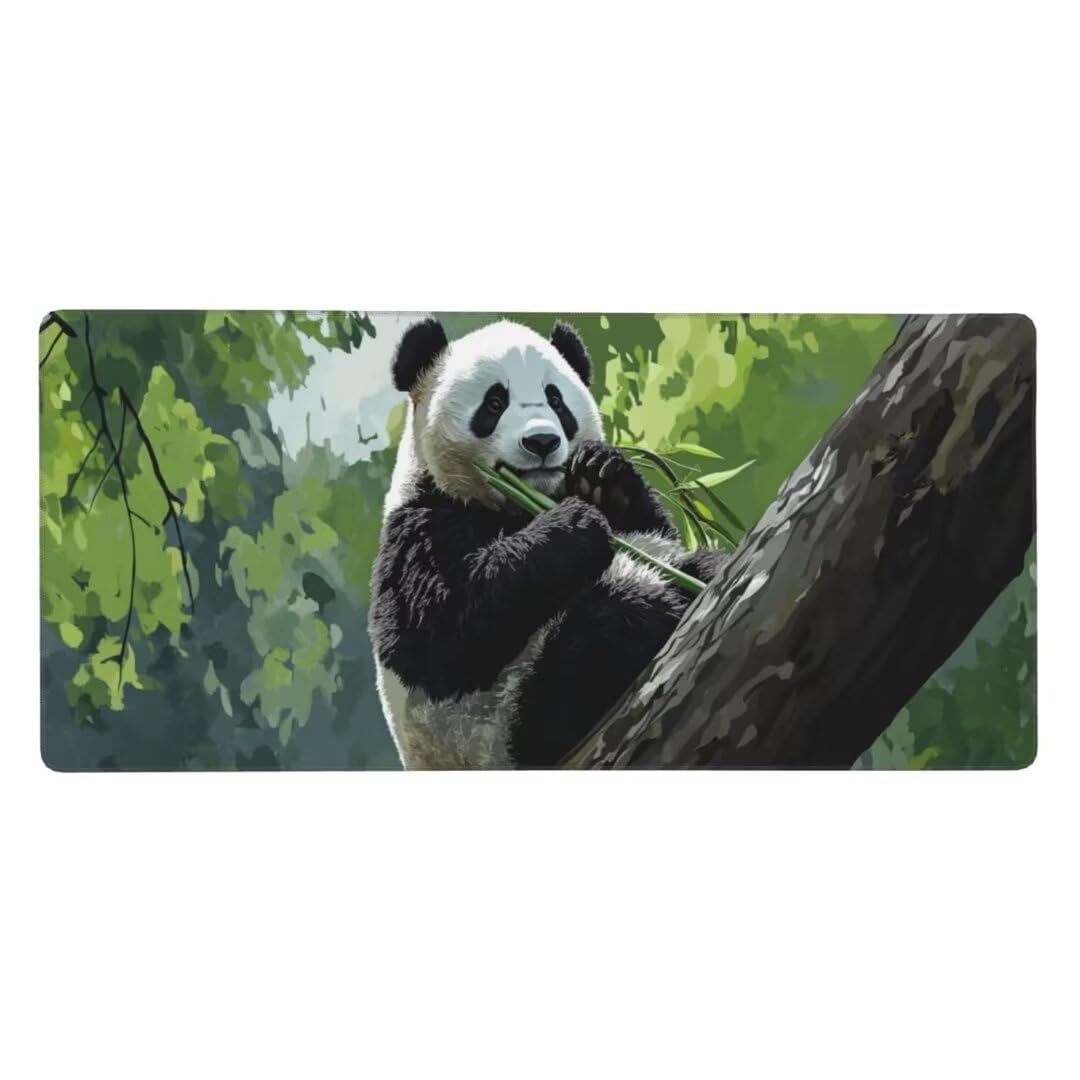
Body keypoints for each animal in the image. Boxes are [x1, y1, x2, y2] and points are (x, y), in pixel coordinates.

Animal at [369, 318, 726, 769]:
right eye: (494, 403)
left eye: (556, 400)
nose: (542, 442)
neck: (515, 505)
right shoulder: (421, 525)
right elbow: (442, 633)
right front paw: (575, 525)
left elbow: (649, 527)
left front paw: (602, 474)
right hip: (506, 721)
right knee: (605, 627)